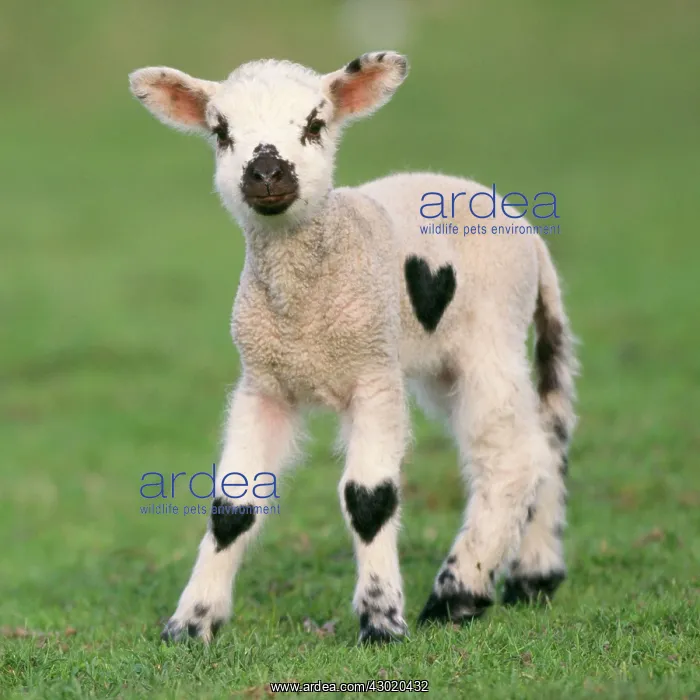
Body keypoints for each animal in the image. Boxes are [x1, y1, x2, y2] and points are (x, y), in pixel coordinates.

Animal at [129, 50, 578, 645]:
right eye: (221, 132)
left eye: (315, 124)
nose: (266, 173)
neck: (304, 314)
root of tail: (531, 235)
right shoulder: (263, 383)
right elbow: (232, 507)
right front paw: (191, 623)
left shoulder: (374, 374)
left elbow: (369, 499)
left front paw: (382, 620)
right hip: (443, 362)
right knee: (543, 442)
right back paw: (534, 575)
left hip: (490, 334)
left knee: (514, 457)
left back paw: (459, 593)